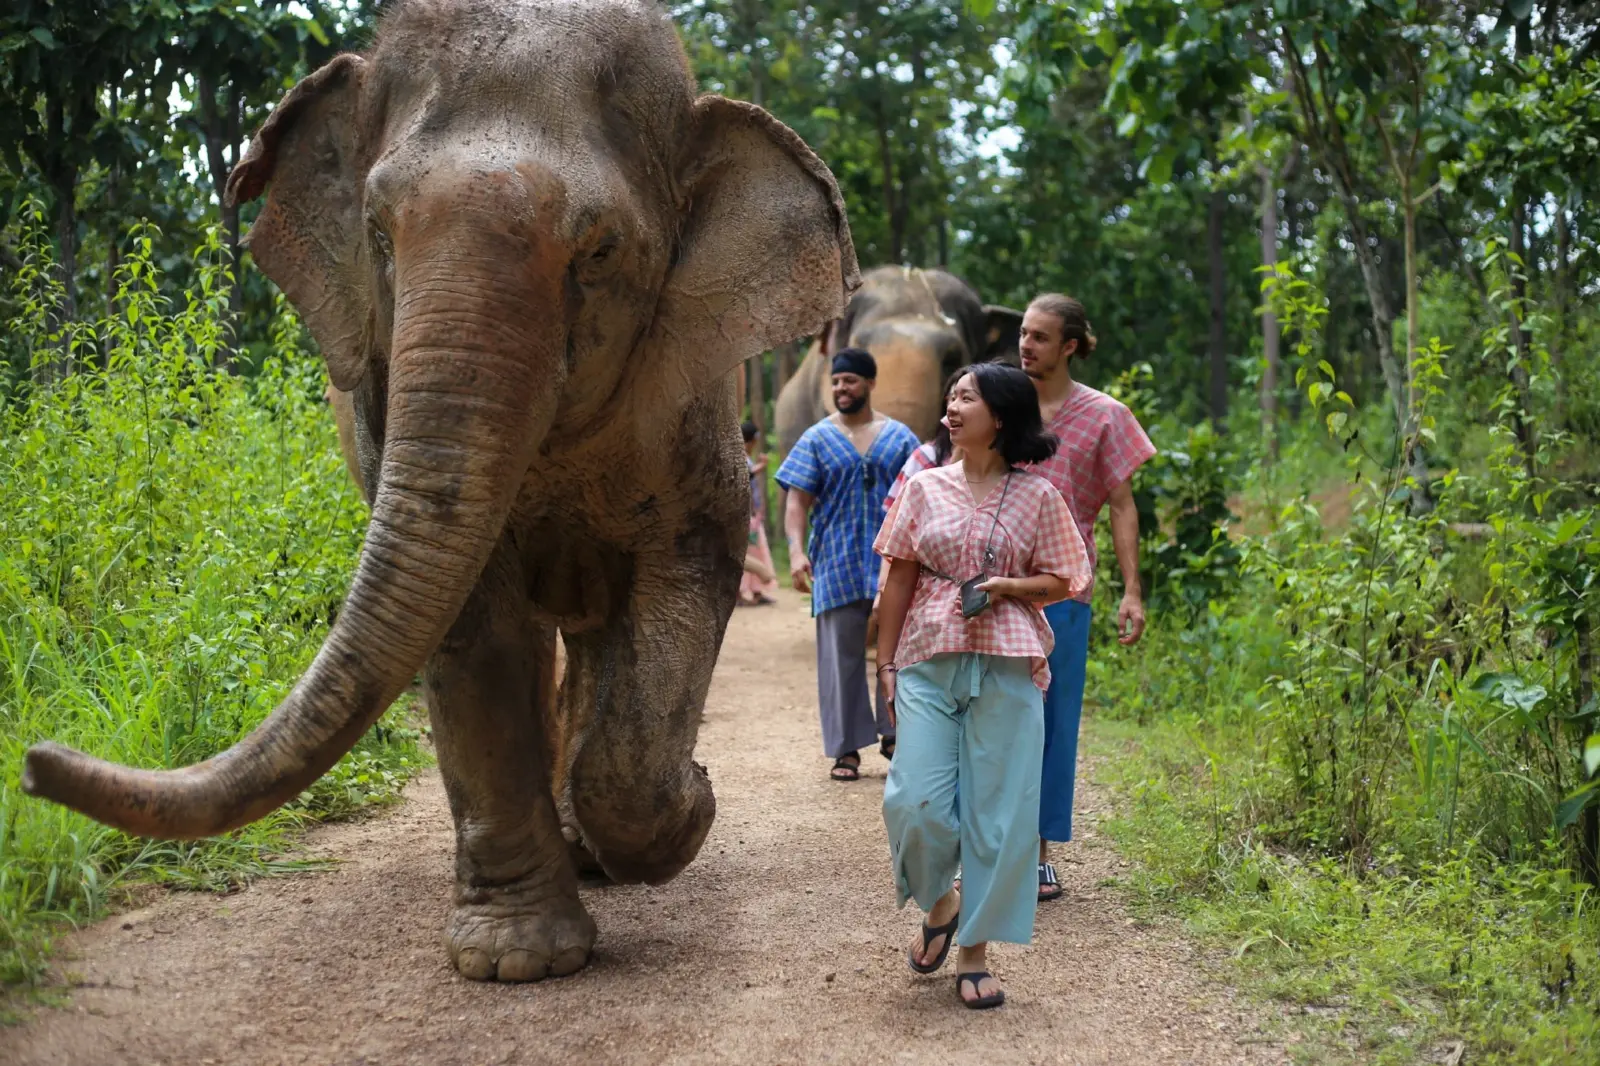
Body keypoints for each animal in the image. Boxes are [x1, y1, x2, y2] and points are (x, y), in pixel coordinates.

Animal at [22, 0, 857, 984]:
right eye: (379, 235)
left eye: (600, 251)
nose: (32, 765)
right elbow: (467, 620)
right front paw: (515, 964)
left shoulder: (692, 403)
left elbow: (694, 560)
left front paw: (686, 809)